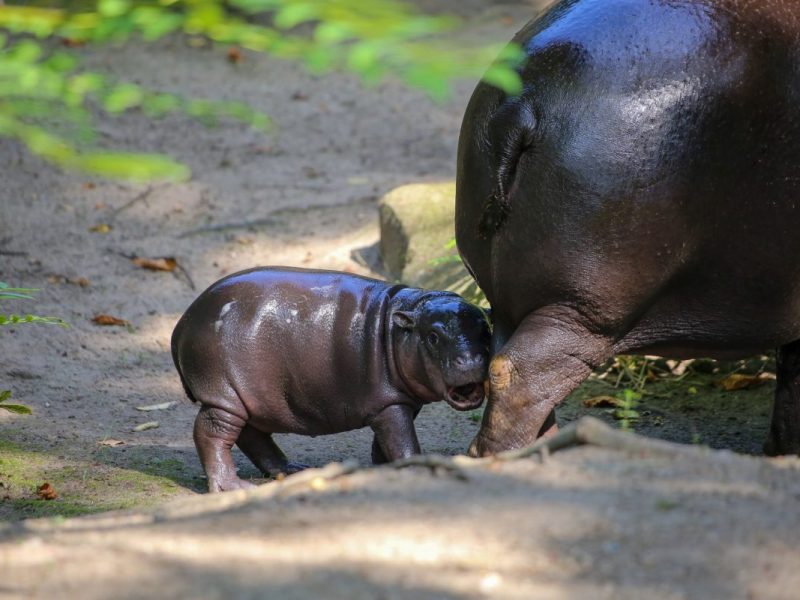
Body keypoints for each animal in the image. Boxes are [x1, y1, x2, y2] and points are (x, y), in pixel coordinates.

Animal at [172, 268, 490, 492]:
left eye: (486, 328)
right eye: (433, 336)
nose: (471, 361)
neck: (404, 319)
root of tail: (183, 322)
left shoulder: (399, 402)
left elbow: (385, 441)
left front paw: (382, 468)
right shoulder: (390, 404)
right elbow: (402, 439)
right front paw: (414, 468)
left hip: (250, 398)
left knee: (252, 434)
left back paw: (294, 469)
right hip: (224, 394)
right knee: (211, 432)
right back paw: (233, 487)